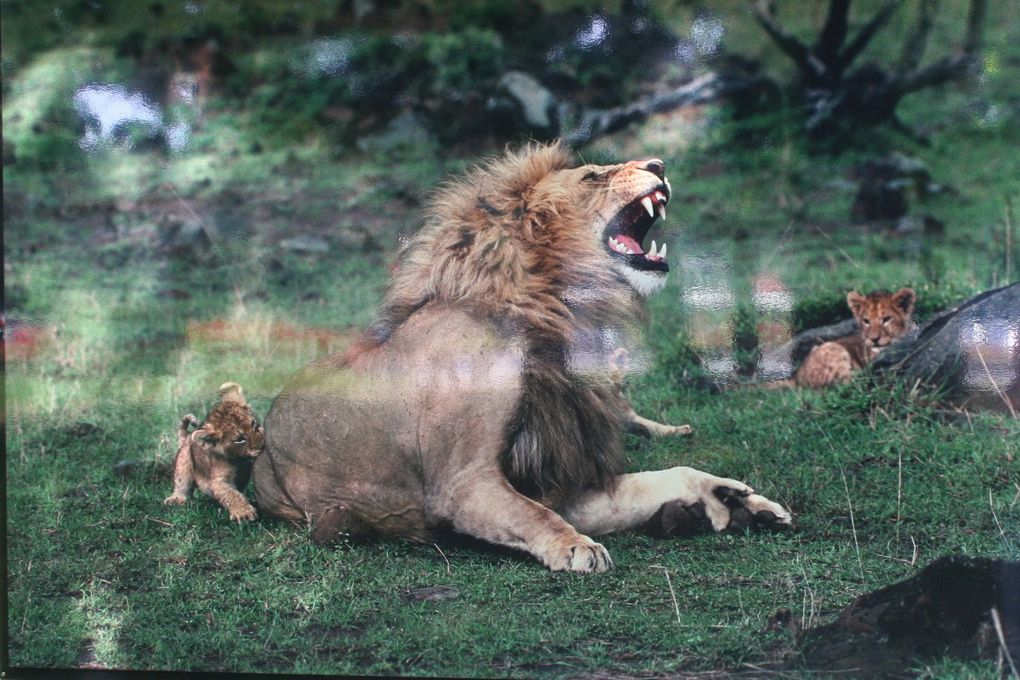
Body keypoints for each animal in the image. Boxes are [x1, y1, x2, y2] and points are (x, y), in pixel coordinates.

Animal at [252, 144, 787, 574]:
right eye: (593, 176)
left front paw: (734, 499)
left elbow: (669, 476)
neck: (554, 310)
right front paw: (576, 547)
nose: (659, 164)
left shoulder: (563, 480)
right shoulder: (461, 482)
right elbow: (533, 514)